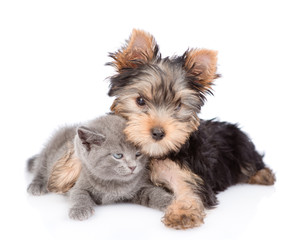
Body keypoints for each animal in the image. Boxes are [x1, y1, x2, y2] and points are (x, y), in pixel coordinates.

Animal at [27, 115, 172, 220]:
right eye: (118, 155)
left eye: (138, 154)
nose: (133, 167)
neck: (114, 184)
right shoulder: (78, 183)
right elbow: (79, 194)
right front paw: (80, 210)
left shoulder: (139, 188)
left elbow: (154, 193)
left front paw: (170, 201)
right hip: (49, 151)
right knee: (40, 167)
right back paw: (36, 185)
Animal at [48, 29, 274, 230]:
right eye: (140, 101)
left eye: (178, 106)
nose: (158, 133)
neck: (152, 152)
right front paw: (64, 173)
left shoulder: (185, 172)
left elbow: (188, 189)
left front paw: (182, 213)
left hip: (242, 146)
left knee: (253, 161)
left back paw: (263, 175)